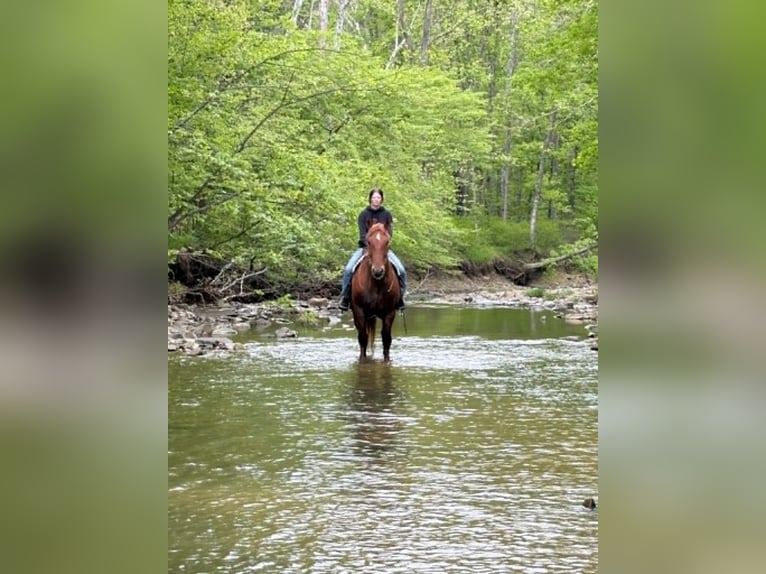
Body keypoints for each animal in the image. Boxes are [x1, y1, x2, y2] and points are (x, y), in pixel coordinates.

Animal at [350, 221, 401, 361]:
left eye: (387, 241)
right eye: (368, 241)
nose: (378, 271)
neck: (376, 284)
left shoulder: (390, 312)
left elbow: (386, 339)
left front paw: (387, 361)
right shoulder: (359, 311)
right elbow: (363, 338)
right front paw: (362, 360)